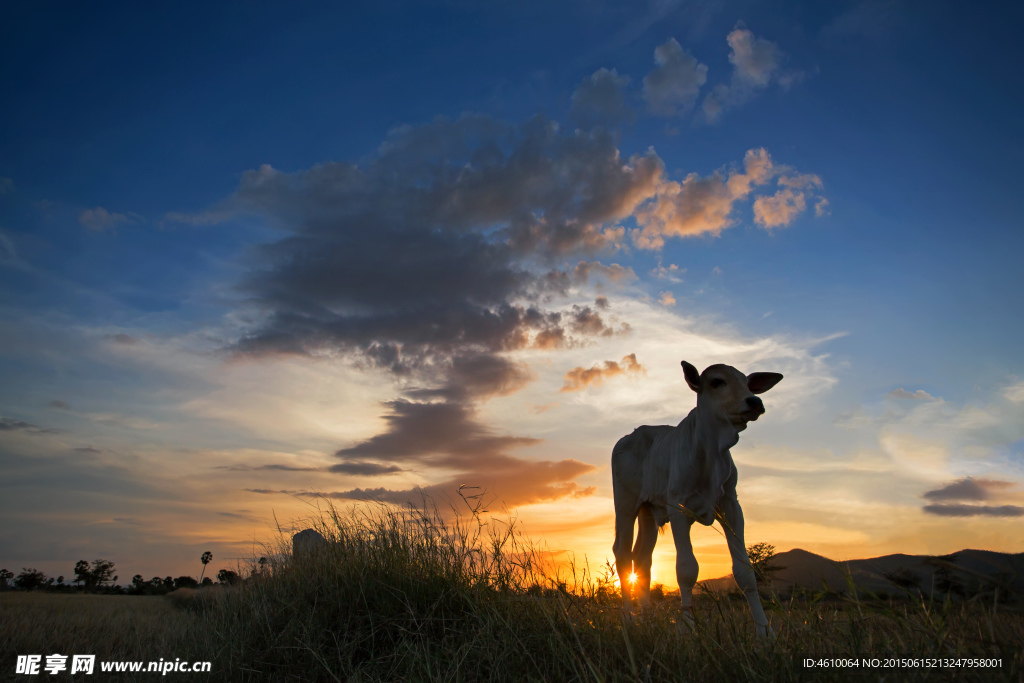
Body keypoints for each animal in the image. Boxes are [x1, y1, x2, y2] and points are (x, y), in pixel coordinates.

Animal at [606, 360, 782, 638]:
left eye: (747, 383)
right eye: (717, 381)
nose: (754, 401)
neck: (712, 452)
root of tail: (629, 437)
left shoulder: (731, 507)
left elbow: (745, 571)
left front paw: (765, 632)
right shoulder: (679, 510)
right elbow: (687, 570)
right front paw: (687, 629)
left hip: (648, 512)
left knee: (643, 559)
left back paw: (646, 620)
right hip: (625, 505)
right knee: (622, 553)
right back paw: (629, 619)